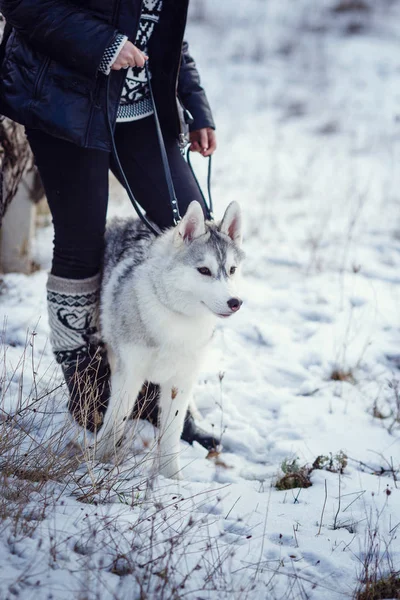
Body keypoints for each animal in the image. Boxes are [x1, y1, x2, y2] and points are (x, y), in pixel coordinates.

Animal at [96, 200, 244, 478]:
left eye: (231, 270)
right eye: (204, 270)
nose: (235, 302)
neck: (178, 320)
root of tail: (125, 218)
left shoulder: (180, 381)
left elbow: (171, 436)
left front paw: (172, 480)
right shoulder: (129, 375)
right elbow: (113, 425)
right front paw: (98, 464)